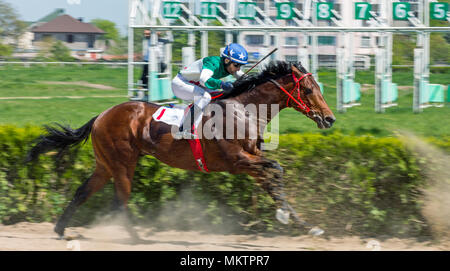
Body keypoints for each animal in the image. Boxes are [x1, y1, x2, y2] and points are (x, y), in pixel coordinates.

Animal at [25, 61, 334, 240]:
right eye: (308, 89)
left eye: (319, 86)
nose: (329, 119)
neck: (244, 110)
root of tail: (101, 115)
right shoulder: (238, 161)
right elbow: (278, 170)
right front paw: (287, 218)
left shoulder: (252, 161)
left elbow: (275, 185)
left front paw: (305, 224)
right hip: (123, 163)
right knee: (119, 200)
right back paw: (135, 237)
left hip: (105, 165)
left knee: (83, 192)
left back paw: (60, 229)